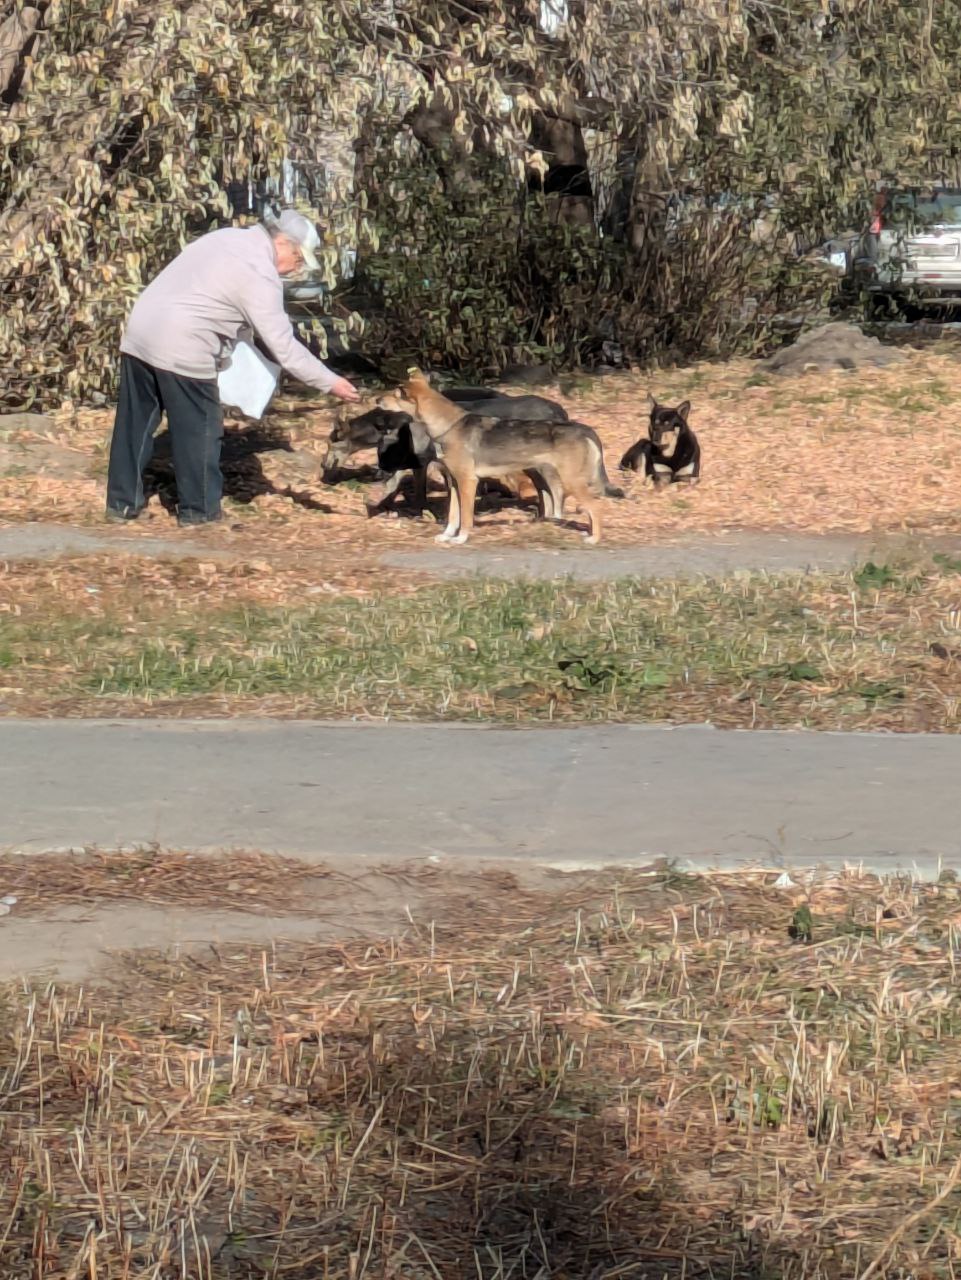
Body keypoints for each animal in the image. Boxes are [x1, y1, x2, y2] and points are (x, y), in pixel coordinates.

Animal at [378, 373, 627, 547]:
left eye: (394, 394)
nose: (377, 399)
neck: (449, 426)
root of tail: (583, 428)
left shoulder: (468, 482)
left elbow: (466, 518)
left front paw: (461, 539)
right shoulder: (455, 483)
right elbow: (453, 516)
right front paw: (446, 536)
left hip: (570, 480)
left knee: (594, 507)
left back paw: (594, 539)